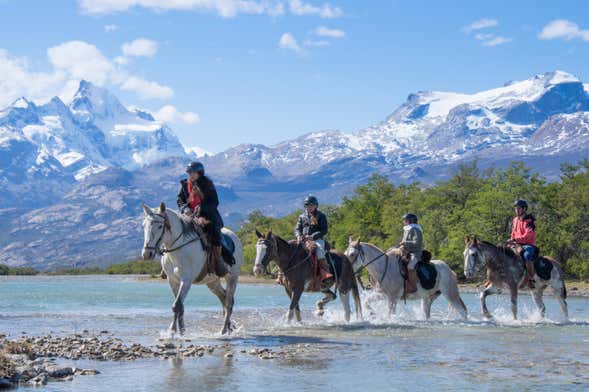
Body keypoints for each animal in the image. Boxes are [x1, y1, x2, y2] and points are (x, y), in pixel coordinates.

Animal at [140, 204, 241, 336]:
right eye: (144, 225)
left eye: (160, 226)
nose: (147, 254)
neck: (179, 249)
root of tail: (235, 237)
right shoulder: (172, 280)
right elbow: (180, 305)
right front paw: (181, 330)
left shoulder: (186, 281)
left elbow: (177, 305)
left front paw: (172, 331)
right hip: (212, 282)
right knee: (224, 298)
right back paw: (229, 328)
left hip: (232, 278)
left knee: (229, 303)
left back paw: (223, 330)